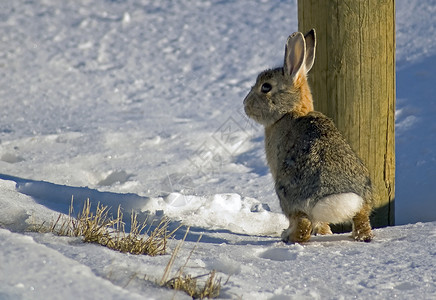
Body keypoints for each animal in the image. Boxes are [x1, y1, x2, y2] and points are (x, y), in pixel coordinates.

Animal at [244, 29, 372, 243]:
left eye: (266, 87)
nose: (245, 105)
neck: (290, 112)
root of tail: (336, 198)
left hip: (286, 191)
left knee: (302, 226)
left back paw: (287, 237)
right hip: (362, 200)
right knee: (361, 221)